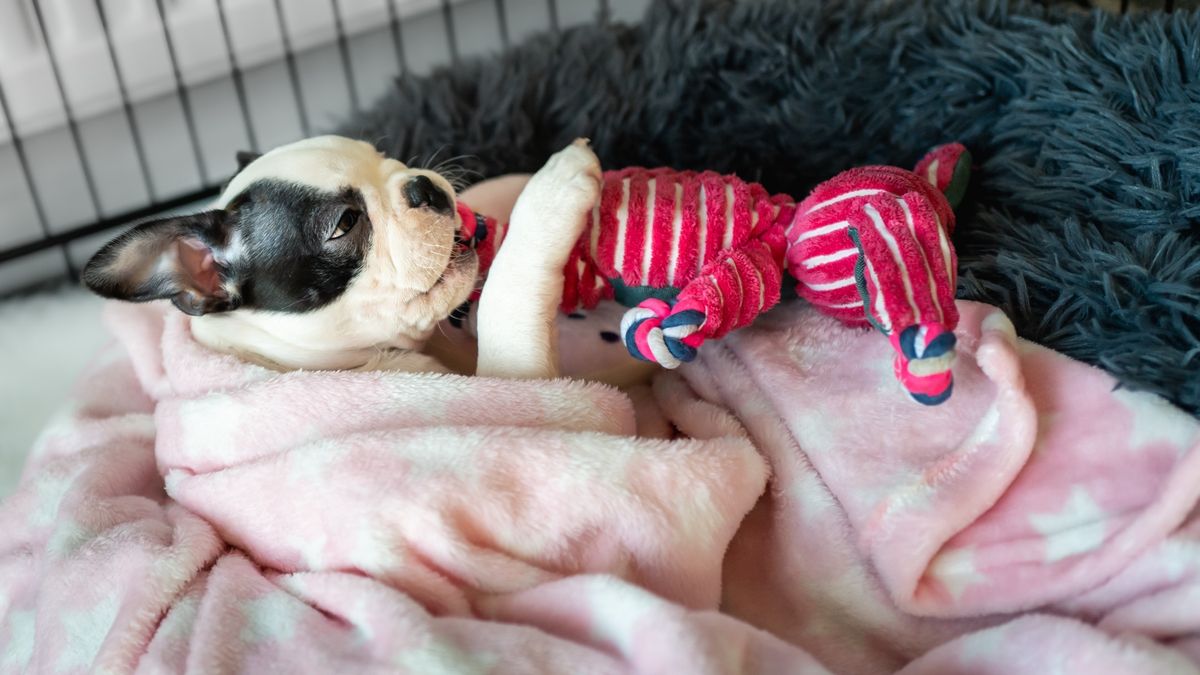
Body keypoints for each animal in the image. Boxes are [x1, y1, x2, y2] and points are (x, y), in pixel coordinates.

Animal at [81, 135, 604, 379]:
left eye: (386, 154)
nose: (424, 185)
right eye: (345, 224)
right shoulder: (517, 379)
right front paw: (551, 189)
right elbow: (504, 307)